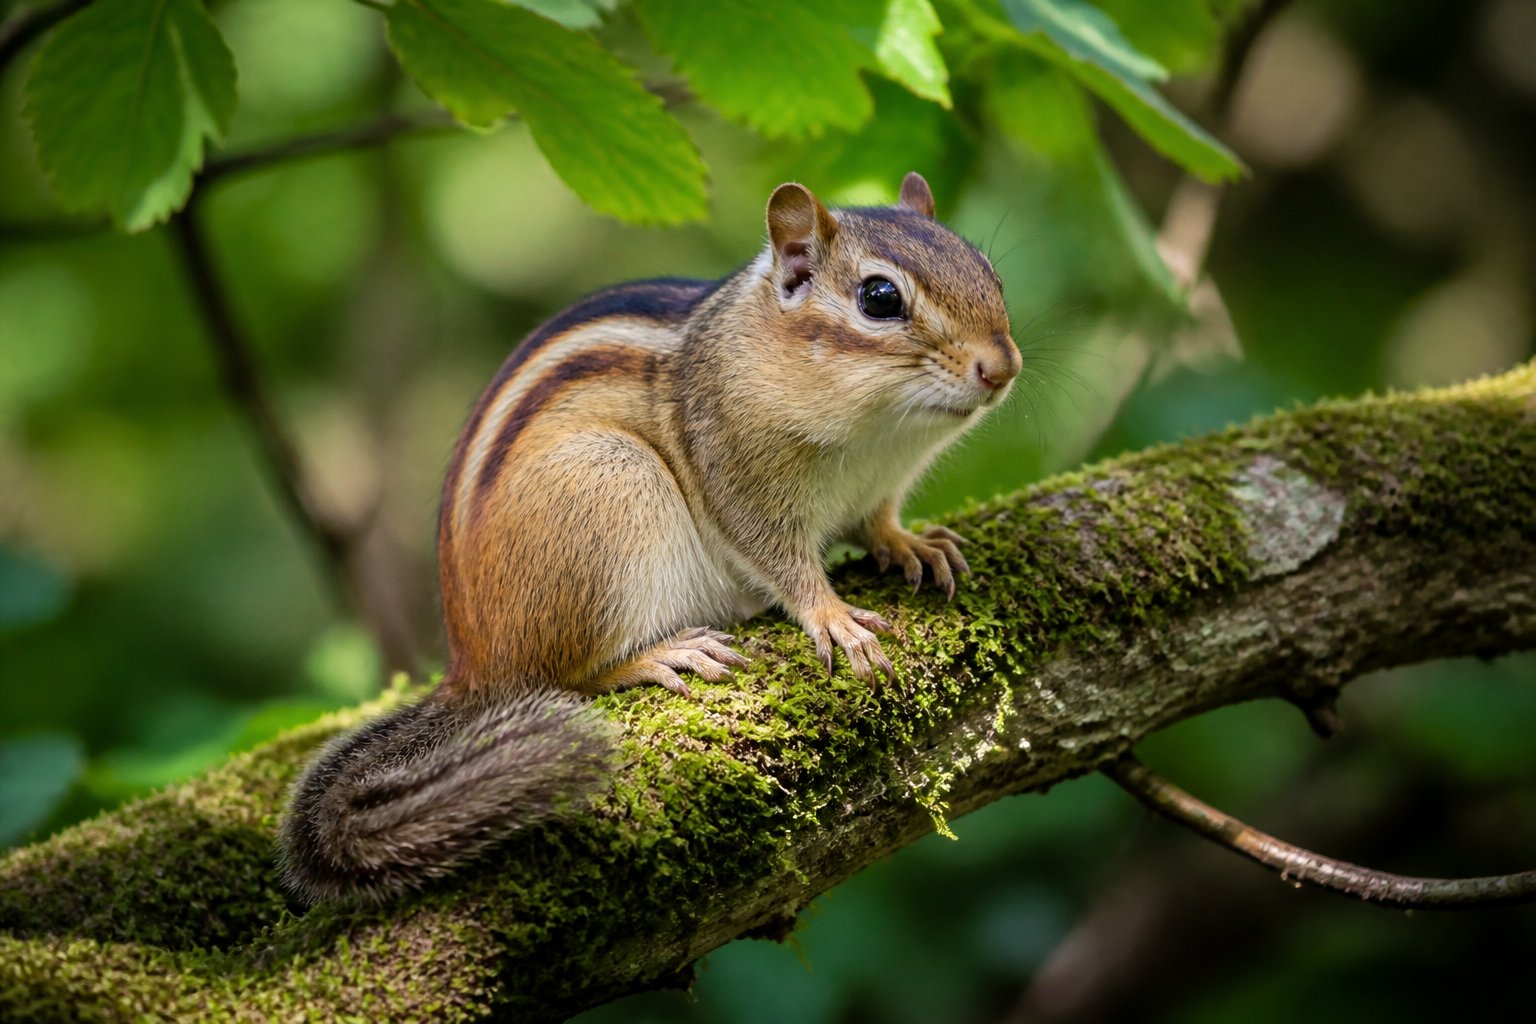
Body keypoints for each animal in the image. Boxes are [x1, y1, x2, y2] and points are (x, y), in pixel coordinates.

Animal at [278, 172, 1020, 904]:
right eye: (880, 298)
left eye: (990, 274)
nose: (1002, 368)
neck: (880, 435)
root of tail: (474, 666)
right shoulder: (735, 469)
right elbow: (779, 557)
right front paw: (833, 616)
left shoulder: (878, 487)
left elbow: (878, 522)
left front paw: (910, 544)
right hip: (612, 488)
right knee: (564, 676)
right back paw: (659, 655)